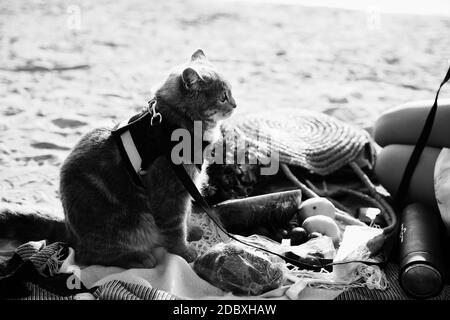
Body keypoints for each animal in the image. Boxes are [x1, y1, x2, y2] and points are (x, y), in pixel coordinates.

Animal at [0, 50, 237, 268]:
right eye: (223, 97)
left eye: (231, 93)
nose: (235, 104)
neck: (172, 122)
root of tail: (69, 230)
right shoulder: (171, 190)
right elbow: (175, 228)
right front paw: (184, 251)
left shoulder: (188, 186)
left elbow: (186, 215)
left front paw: (192, 231)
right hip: (128, 223)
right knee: (89, 257)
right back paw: (138, 258)